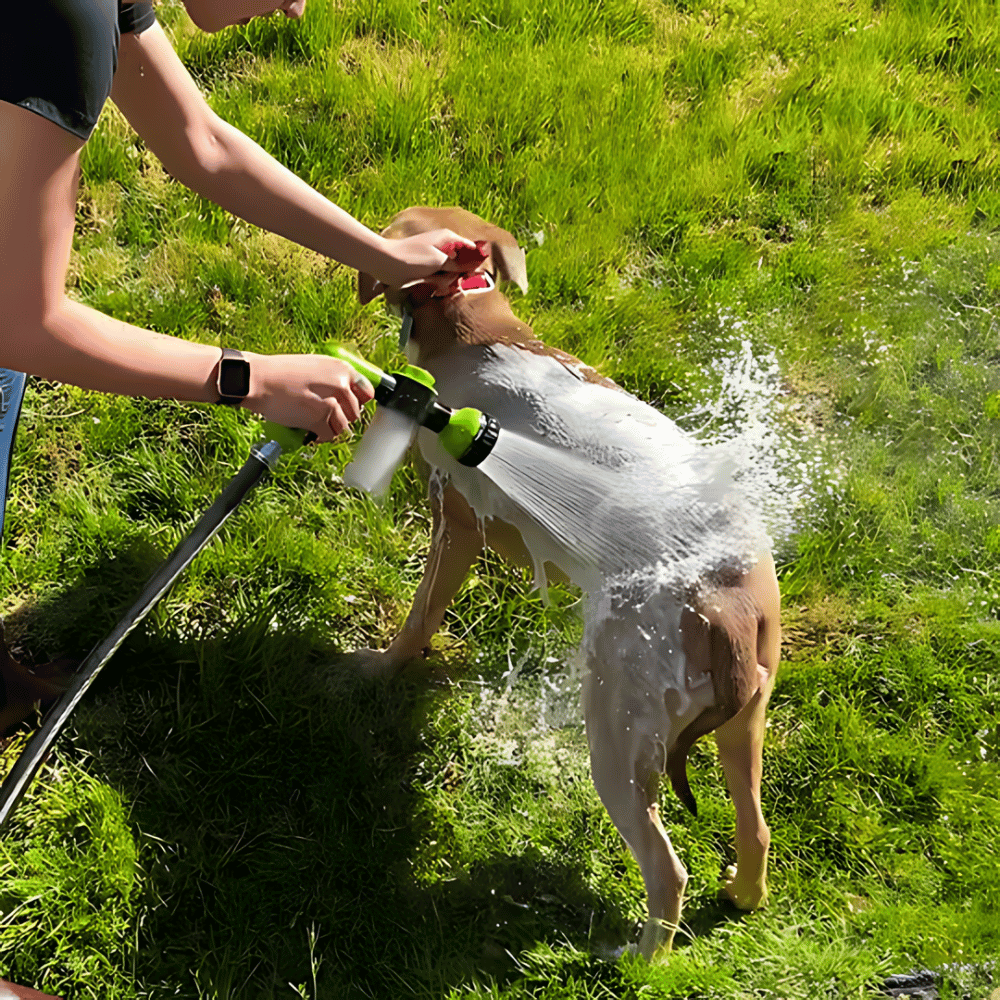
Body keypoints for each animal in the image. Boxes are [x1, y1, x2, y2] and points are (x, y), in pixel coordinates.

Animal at [352, 205, 780, 960]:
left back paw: (640, 961)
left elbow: (420, 616)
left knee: (667, 869)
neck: (478, 328)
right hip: (744, 721)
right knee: (754, 828)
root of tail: (726, 610)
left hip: (619, 737)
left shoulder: (456, 521)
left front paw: (380, 667)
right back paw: (740, 894)